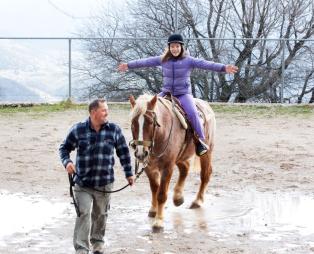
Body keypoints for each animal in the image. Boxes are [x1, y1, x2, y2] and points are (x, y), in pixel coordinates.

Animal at [128, 94, 216, 231]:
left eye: (150, 122)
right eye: (133, 123)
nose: (141, 153)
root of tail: (206, 106)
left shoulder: (168, 166)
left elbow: (161, 194)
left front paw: (158, 222)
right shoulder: (149, 167)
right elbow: (154, 188)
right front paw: (153, 210)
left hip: (206, 153)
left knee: (205, 174)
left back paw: (197, 201)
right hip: (180, 157)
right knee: (185, 168)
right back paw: (178, 197)